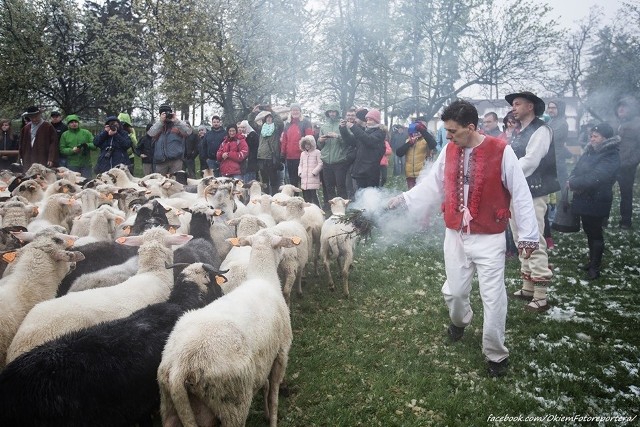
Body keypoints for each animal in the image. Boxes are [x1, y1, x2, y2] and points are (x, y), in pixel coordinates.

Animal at [158, 231, 296, 427]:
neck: (263, 278)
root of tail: (181, 366)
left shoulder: (264, 359)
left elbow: (265, 386)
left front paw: (267, 414)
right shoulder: (281, 352)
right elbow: (273, 396)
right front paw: (273, 418)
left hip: (170, 405)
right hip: (232, 403)